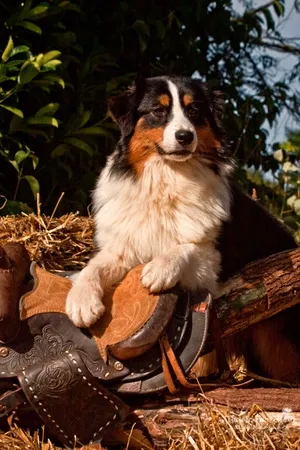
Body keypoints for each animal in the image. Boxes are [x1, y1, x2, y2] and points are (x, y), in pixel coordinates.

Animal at [66, 75, 300, 382]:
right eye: (158, 110)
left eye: (194, 111)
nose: (184, 136)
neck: (168, 177)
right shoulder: (123, 247)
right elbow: (93, 267)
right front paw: (81, 301)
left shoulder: (213, 265)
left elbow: (185, 247)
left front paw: (158, 269)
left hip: (277, 345)